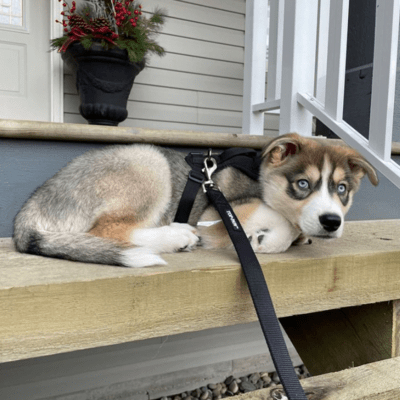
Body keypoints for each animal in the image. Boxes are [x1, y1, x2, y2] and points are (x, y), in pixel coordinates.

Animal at [13, 133, 378, 268]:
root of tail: (30, 209)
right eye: (302, 184)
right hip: (148, 162)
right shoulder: (219, 214)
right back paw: (176, 236)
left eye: (342, 189)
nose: (331, 222)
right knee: (109, 230)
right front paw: (266, 237)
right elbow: (280, 222)